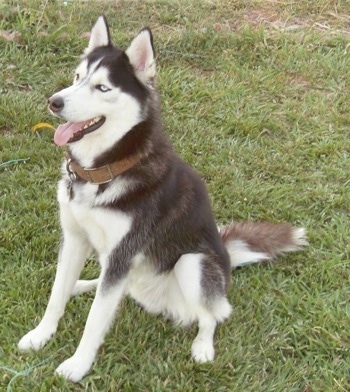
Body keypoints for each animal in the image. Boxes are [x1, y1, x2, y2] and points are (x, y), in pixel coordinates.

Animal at [17, 16, 306, 382]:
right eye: (77, 77)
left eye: (102, 88)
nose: (54, 101)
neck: (105, 169)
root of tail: (227, 258)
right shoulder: (75, 238)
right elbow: (57, 296)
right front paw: (40, 335)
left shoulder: (123, 252)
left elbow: (96, 320)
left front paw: (78, 364)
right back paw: (82, 285)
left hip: (192, 264)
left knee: (215, 314)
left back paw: (203, 346)